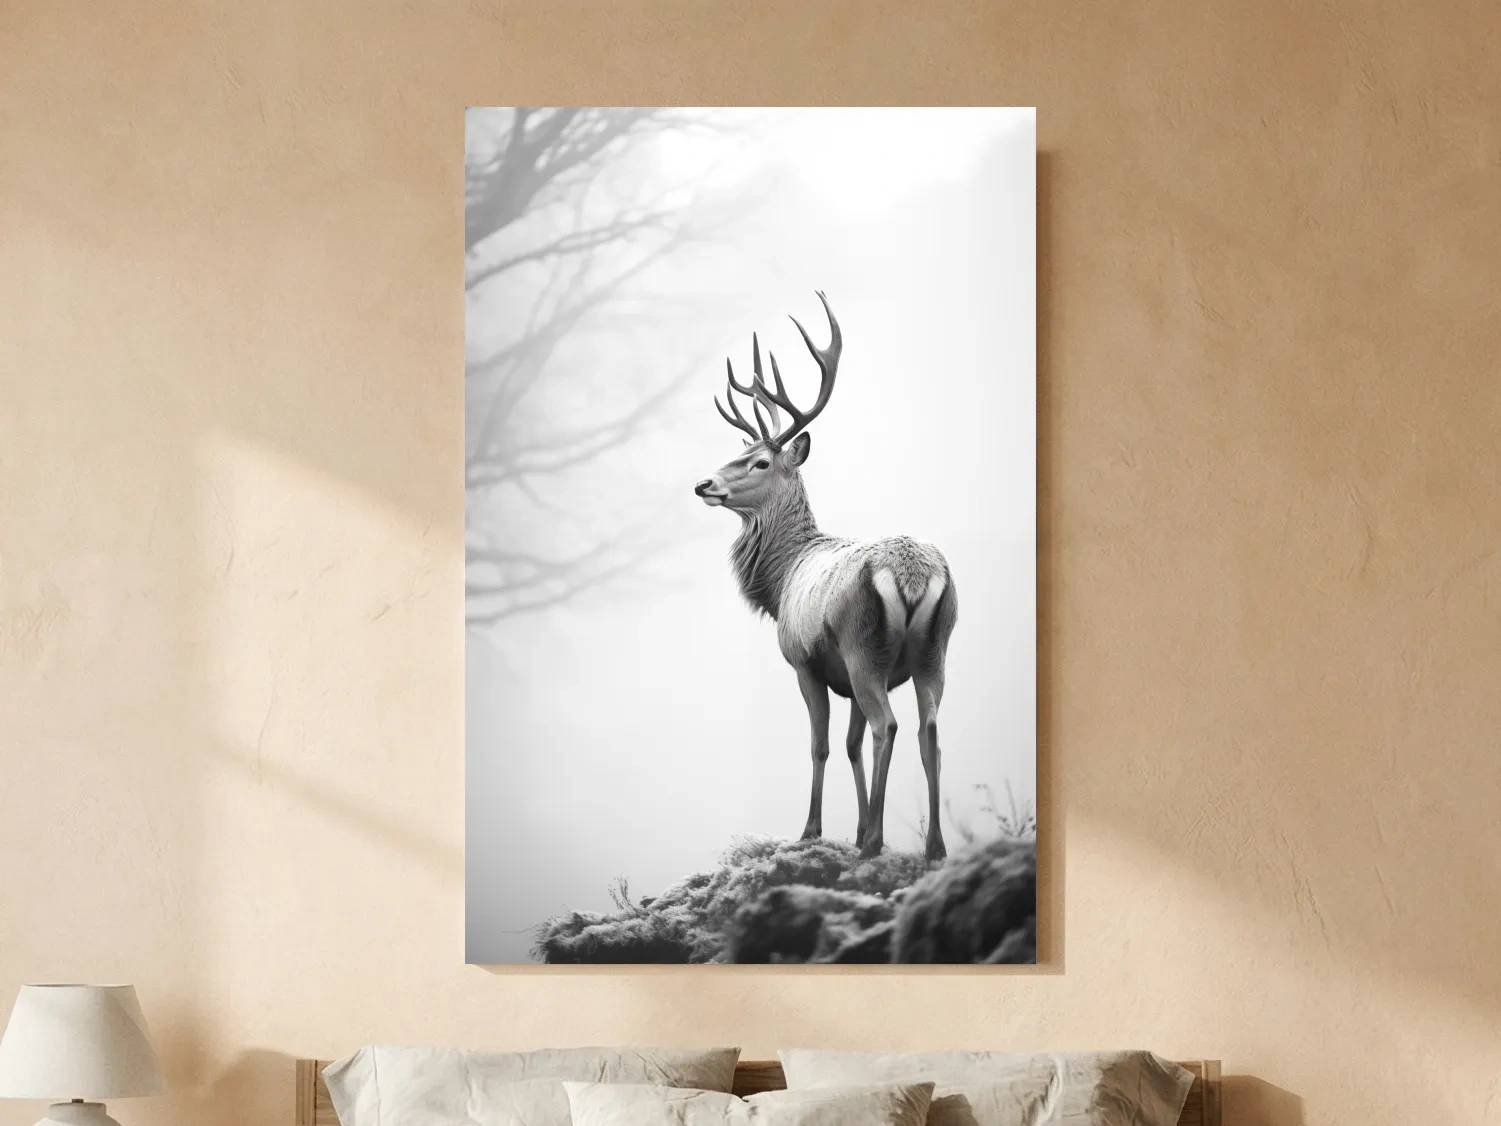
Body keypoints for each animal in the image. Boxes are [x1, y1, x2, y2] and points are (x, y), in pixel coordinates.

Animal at [694, 292, 957, 863]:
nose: (703, 483)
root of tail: (912, 575)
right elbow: (852, 745)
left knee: (889, 725)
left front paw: (814, 830)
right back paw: (933, 847)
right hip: (934, 650)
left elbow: (822, 745)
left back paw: (876, 842)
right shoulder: (847, 679)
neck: (781, 579)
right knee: (928, 730)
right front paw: (854, 828)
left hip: (863, 646)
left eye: (759, 461)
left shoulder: (805, 661)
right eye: (738, 452)